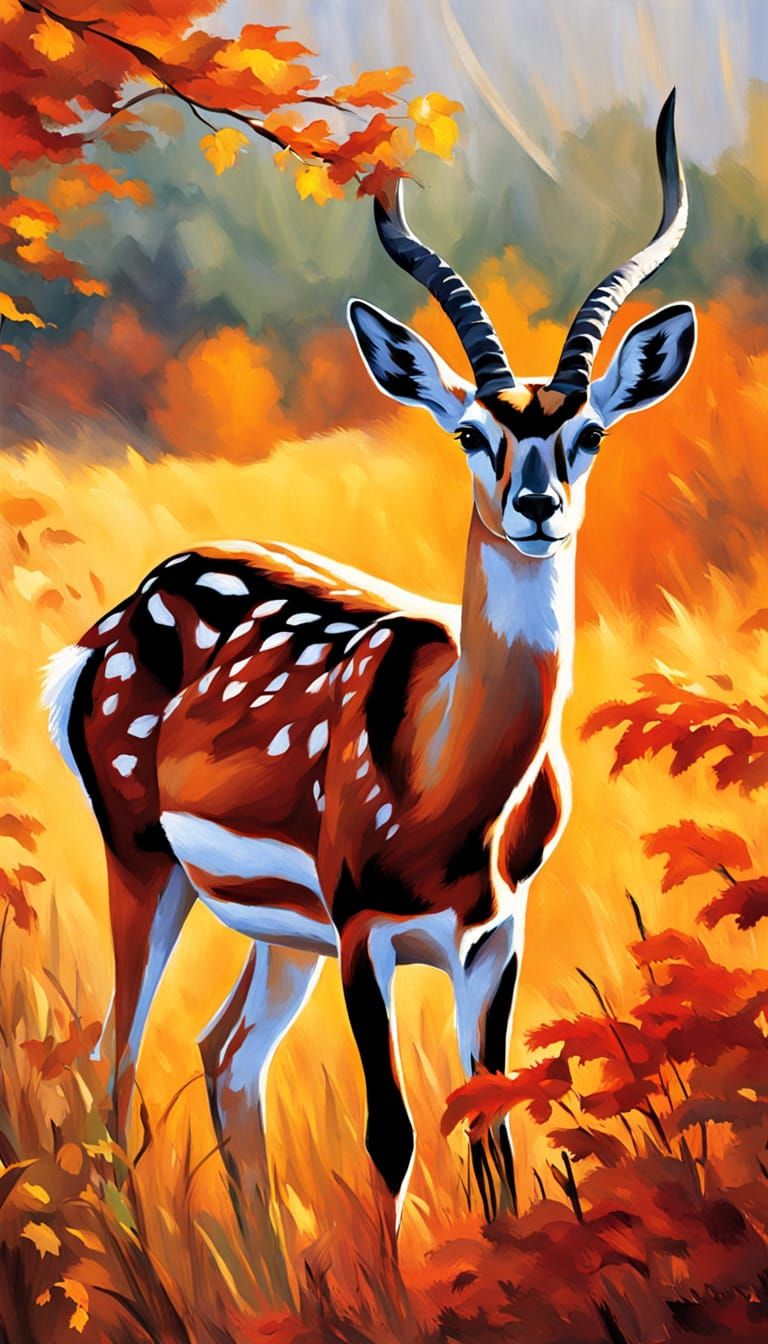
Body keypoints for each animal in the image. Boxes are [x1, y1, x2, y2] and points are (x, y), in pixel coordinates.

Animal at [44, 92, 695, 1234]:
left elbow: (490, 1134)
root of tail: (103, 630)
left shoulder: (495, 934)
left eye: (590, 434)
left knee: (224, 1054)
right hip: (141, 854)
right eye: (472, 431)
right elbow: (389, 1139)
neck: (450, 795)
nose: (538, 507)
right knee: (115, 1065)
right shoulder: (361, 925)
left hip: (274, 926)